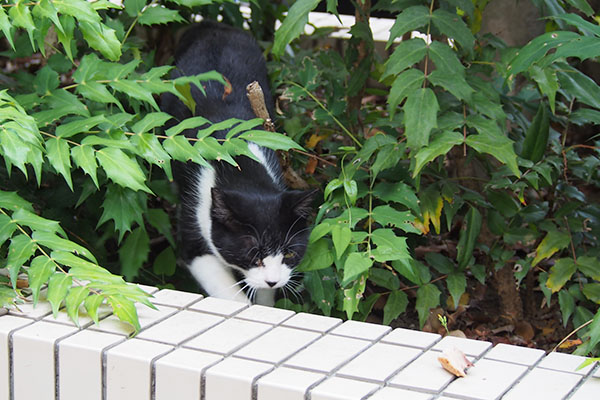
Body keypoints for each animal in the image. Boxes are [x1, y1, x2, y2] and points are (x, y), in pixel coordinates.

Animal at [162, 20, 316, 304]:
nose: (273, 280)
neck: (242, 167)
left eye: (289, 253)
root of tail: (213, 25)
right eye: (254, 254)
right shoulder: (195, 217)